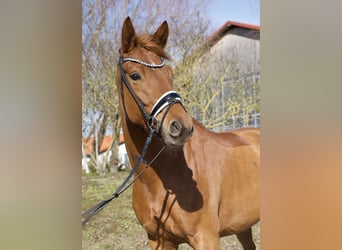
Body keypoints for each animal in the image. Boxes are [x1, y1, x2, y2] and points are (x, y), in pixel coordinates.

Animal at [116, 16, 258, 249]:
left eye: (169, 74)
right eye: (135, 75)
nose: (181, 127)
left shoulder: (206, 238)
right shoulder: (159, 240)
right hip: (243, 224)